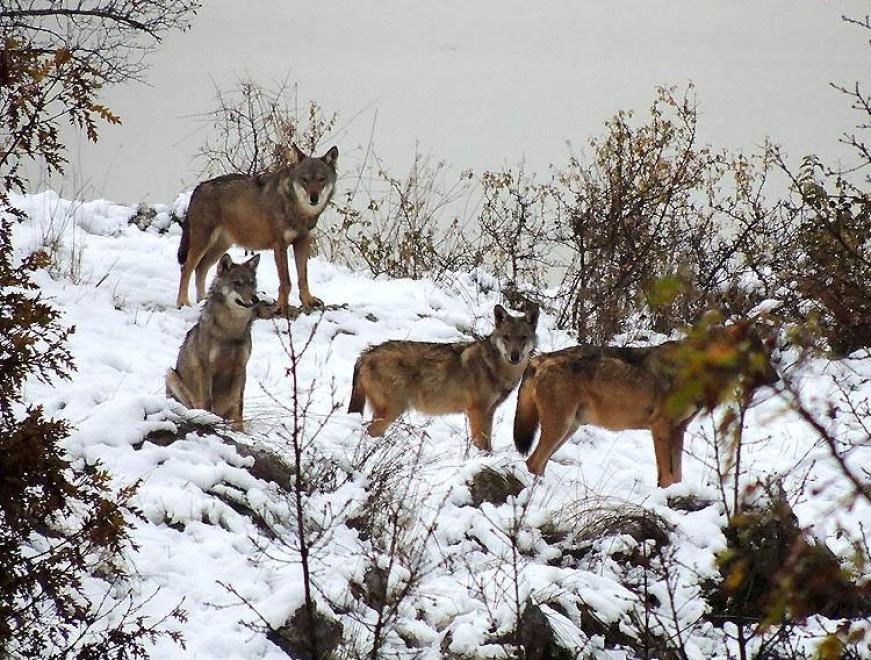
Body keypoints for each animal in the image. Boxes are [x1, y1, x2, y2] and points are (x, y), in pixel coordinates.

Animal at [166, 253, 268, 434]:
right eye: (237, 283)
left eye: (252, 283)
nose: (255, 299)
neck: (230, 331)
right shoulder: (207, 367)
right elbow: (208, 400)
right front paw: (208, 420)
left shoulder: (240, 368)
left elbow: (238, 404)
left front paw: (239, 430)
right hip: (170, 375)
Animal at [175, 146, 338, 314]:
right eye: (305, 180)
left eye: (321, 179)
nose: (314, 198)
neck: (299, 212)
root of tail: (198, 188)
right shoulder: (280, 245)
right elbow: (285, 281)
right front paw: (281, 307)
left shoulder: (303, 243)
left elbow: (303, 279)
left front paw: (308, 302)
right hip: (202, 243)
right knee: (186, 269)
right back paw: (182, 303)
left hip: (219, 248)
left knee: (201, 268)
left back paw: (202, 301)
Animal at [348, 302, 540, 448]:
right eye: (506, 337)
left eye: (523, 337)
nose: (514, 356)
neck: (494, 366)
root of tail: (365, 354)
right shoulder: (477, 411)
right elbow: (482, 446)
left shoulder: (489, 412)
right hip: (392, 410)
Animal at [510, 322, 776, 488]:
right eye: (756, 352)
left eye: (765, 352)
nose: (776, 378)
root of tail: (539, 359)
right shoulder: (660, 427)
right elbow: (667, 475)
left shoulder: (678, 430)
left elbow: (677, 475)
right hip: (560, 427)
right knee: (533, 462)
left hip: (569, 429)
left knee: (538, 463)